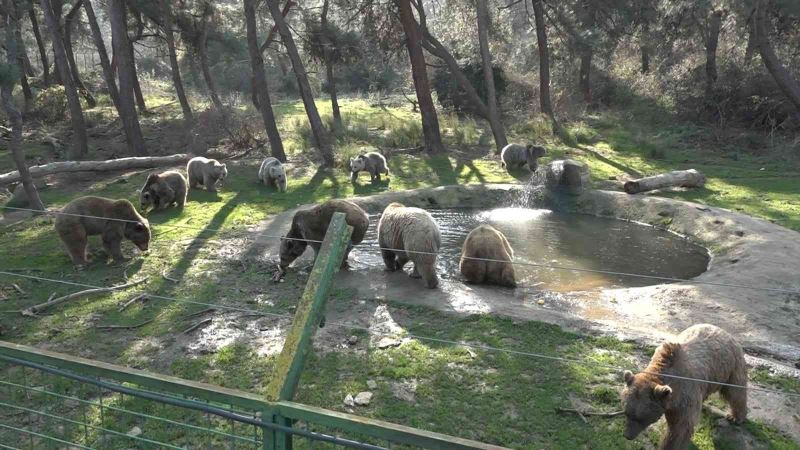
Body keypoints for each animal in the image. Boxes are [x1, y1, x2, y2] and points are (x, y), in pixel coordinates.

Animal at [620, 324, 748, 450]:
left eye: (641, 417)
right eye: (627, 413)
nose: (627, 435)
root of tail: (722, 330)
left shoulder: (684, 396)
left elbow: (680, 428)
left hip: (731, 366)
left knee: (735, 391)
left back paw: (735, 417)